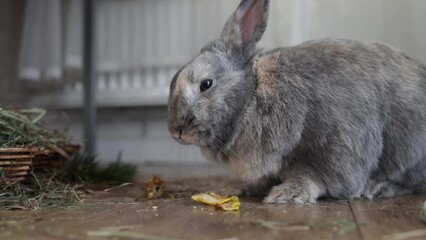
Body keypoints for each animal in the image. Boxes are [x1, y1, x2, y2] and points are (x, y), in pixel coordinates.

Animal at [166, 0, 426, 202]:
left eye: (206, 84)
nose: (176, 130)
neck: (252, 96)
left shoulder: (332, 147)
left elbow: (315, 177)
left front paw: (287, 194)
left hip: (406, 149)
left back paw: (375, 187)